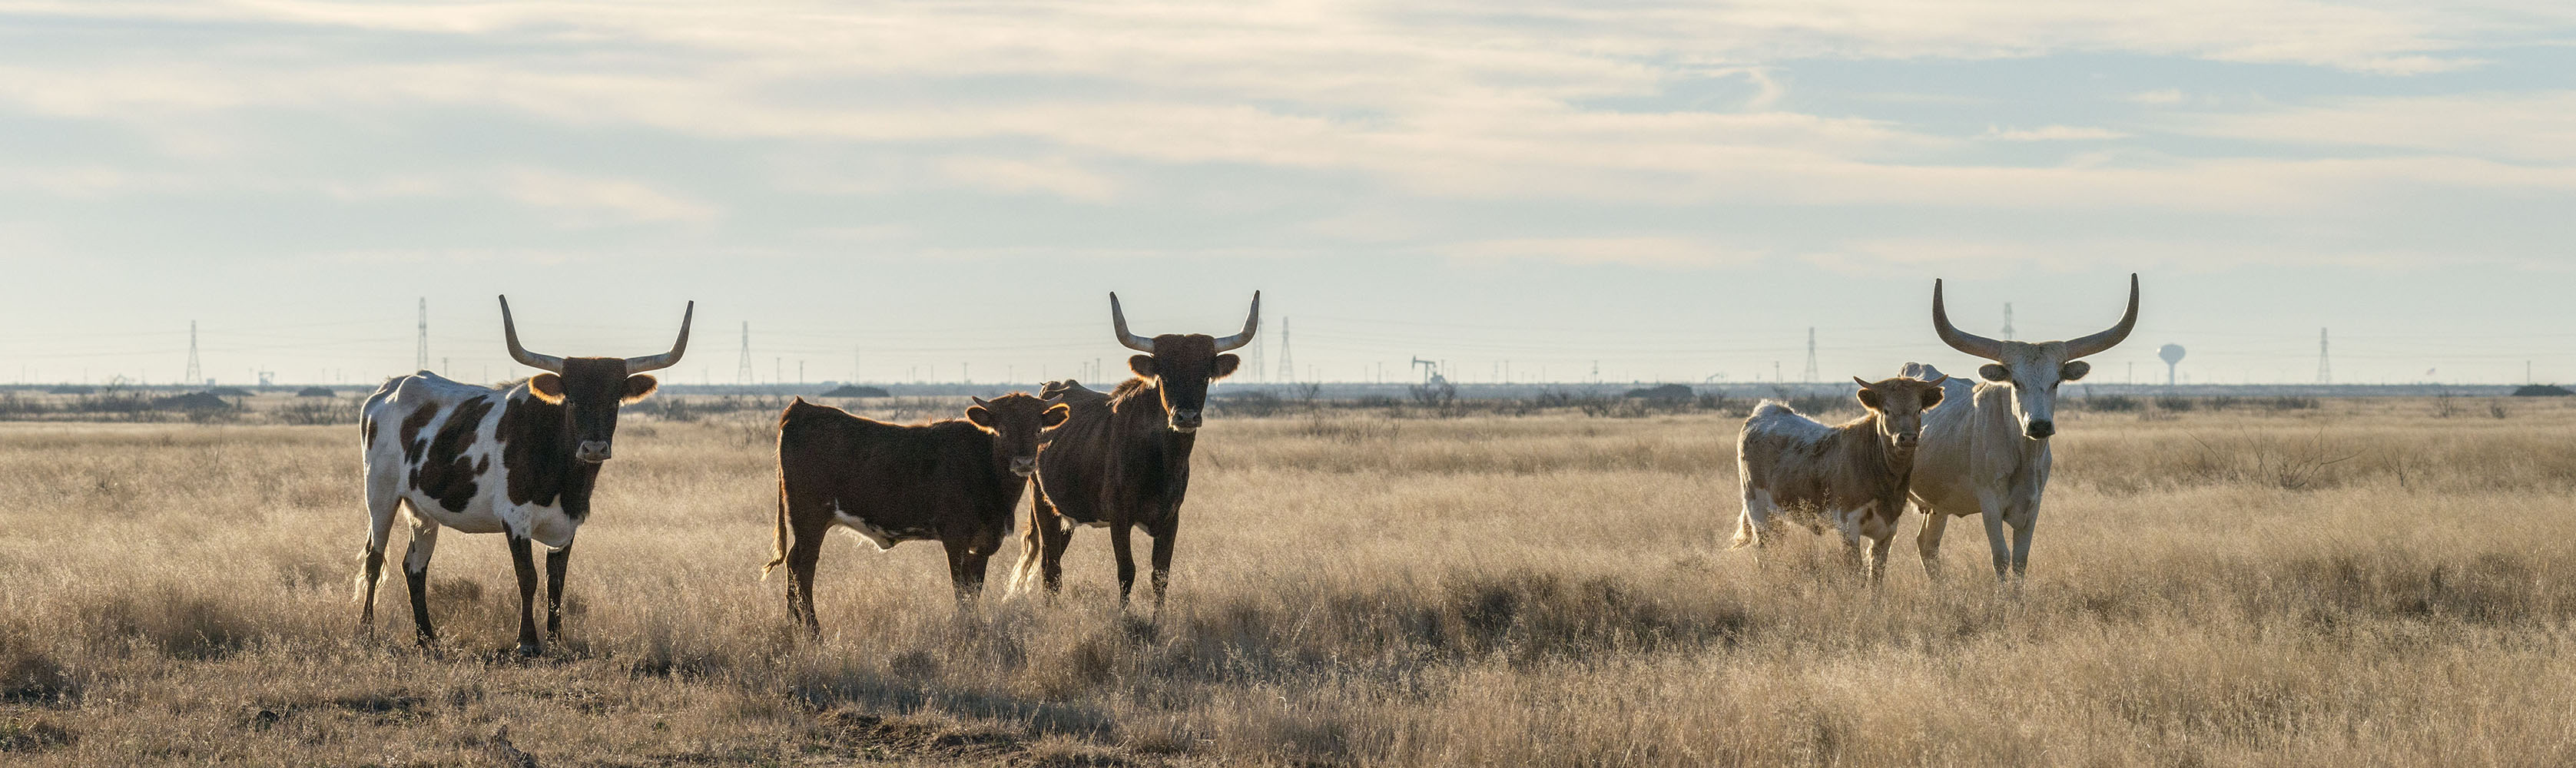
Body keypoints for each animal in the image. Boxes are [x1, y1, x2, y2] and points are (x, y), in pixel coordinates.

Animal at [752, 392, 1066, 634]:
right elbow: (961, 589)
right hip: (810, 519)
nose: (1024, 462)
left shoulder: (983, 542)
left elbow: (974, 590)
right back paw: (813, 632)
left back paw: (796, 626)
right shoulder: (955, 537)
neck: (983, 464)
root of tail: (801, 409)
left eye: (1039, 429)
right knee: (802, 566)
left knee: (795, 566)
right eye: (1002, 430)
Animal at [1004, 290, 1257, 611]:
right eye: (1164, 375)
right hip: (1042, 503)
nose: (1186, 417)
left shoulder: (1171, 519)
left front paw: (1158, 620)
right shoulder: (1119, 518)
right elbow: (1127, 572)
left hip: (1066, 514)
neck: (1162, 461)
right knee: (1051, 569)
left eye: (1204, 375)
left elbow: (1160, 575)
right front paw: (1124, 617)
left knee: (1053, 562)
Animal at [1731, 373, 1947, 582]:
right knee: (1763, 553)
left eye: (1919, 410)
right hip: (1758, 510)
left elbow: (1876, 576)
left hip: (1778, 516)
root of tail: (1767, 410)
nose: (1907, 438)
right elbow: (1856, 575)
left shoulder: (1888, 529)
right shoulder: (1848, 526)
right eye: (1886, 411)